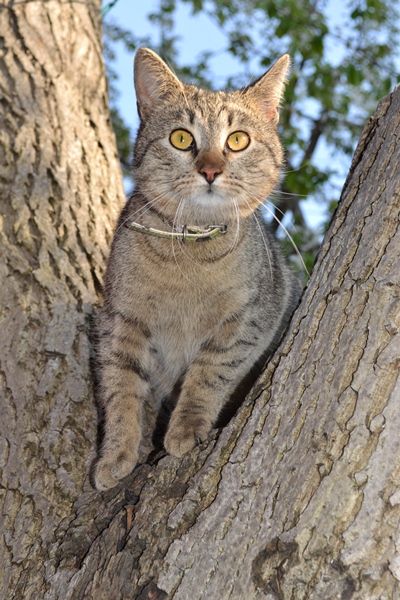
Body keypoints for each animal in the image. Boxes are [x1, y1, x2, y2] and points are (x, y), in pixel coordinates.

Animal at [93, 48, 300, 492]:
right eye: (181, 138)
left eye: (237, 140)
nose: (210, 170)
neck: (188, 258)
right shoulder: (119, 321)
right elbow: (121, 388)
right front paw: (117, 452)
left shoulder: (251, 320)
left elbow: (210, 373)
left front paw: (185, 429)